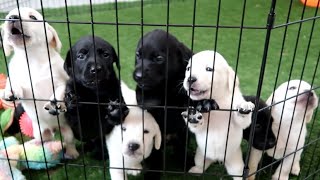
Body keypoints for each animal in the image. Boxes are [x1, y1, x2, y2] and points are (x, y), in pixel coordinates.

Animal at [1, 7, 79, 158]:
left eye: (33, 17)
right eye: (8, 16)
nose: (12, 18)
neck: (32, 57)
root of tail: (54, 127)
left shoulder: (63, 80)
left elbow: (61, 89)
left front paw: (55, 101)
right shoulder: (23, 86)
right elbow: (13, 82)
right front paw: (10, 91)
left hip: (68, 132)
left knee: (69, 142)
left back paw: (72, 153)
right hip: (39, 132)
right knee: (45, 140)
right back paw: (34, 145)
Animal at [133, 28, 194, 178]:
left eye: (159, 58)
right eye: (138, 55)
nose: (137, 76)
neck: (165, 91)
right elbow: (155, 156)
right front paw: (153, 174)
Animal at [182, 50, 255, 179]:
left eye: (209, 69)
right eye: (188, 68)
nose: (190, 79)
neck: (218, 99)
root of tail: (217, 159)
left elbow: (243, 121)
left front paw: (244, 107)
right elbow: (197, 126)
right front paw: (193, 117)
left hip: (235, 162)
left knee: (238, 173)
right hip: (201, 155)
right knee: (201, 165)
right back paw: (196, 170)